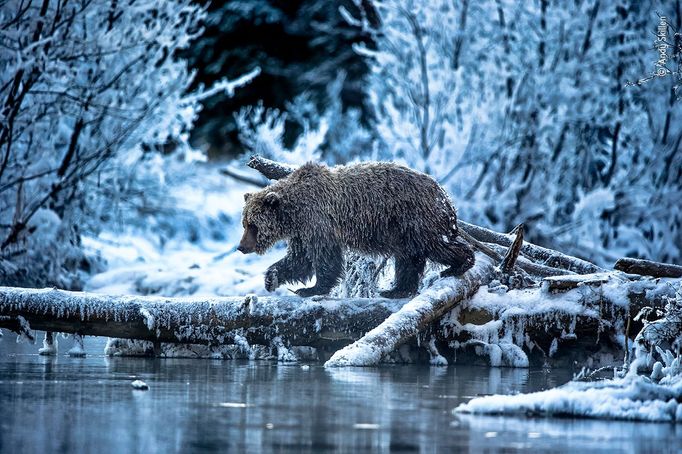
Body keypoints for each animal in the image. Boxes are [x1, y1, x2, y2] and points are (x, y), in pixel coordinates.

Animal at [238, 162, 472, 298]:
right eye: (245, 223)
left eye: (253, 225)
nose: (241, 247)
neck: (294, 213)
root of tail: (444, 195)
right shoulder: (302, 232)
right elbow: (299, 259)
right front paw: (271, 278)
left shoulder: (319, 222)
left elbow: (325, 258)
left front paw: (312, 288)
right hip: (403, 229)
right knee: (409, 258)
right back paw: (396, 290)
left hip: (415, 218)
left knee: (434, 245)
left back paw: (460, 263)